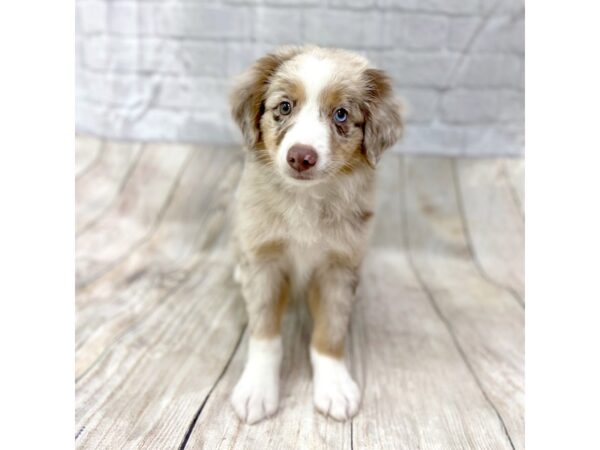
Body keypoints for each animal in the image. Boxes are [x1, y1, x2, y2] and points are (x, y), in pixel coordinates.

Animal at [230, 46, 404, 426]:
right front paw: (256, 389)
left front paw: (335, 386)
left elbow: (330, 330)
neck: (306, 200)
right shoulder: (264, 260)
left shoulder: (338, 268)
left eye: (341, 114)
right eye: (284, 107)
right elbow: (265, 333)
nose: (301, 157)